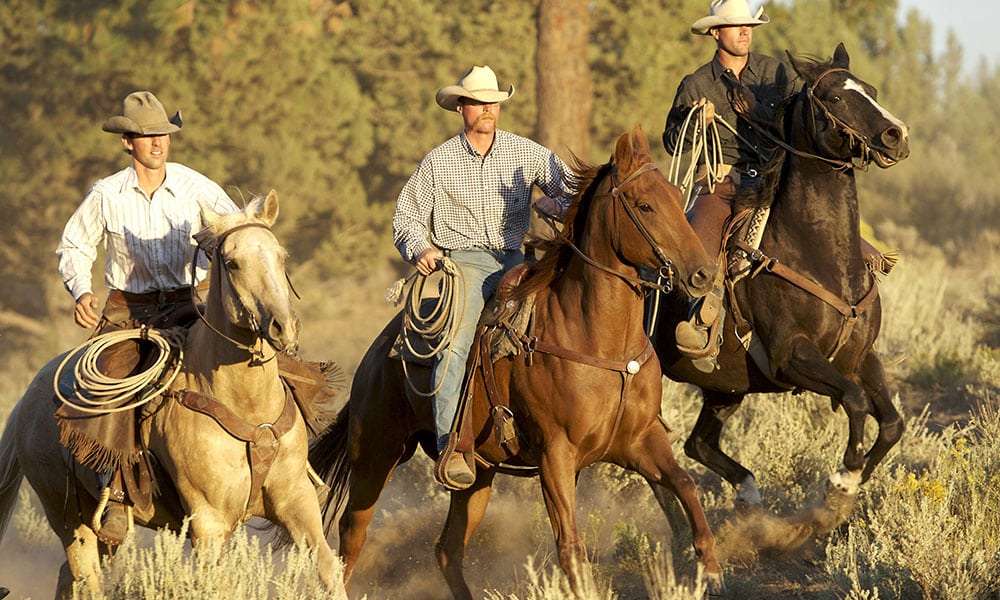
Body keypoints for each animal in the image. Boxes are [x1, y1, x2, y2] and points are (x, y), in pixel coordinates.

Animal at [0, 195, 340, 596]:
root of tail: (27, 398)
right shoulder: (209, 521)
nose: (283, 327)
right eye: (233, 263)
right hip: (68, 517)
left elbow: (329, 569)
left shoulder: (296, 500)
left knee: (70, 578)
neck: (247, 404)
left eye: (281, 256)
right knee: (87, 578)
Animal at [310, 125, 720, 596]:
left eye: (676, 193)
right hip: (375, 457)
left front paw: (711, 570)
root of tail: (377, 351)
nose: (704, 273)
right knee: (350, 540)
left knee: (447, 549)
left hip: (477, 477)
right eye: (644, 205)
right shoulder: (555, 455)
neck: (598, 341)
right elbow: (571, 547)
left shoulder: (641, 441)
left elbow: (687, 488)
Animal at [652, 43, 912, 510]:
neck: (821, 256)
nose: (896, 134)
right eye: (835, 98)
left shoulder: (861, 356)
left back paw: (748, 493)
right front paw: (843, 475)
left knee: (697, 444)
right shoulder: (790, 355)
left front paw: (851, 480)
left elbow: (891, 421)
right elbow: (854, 399)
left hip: (724, 390)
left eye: (871, 90)